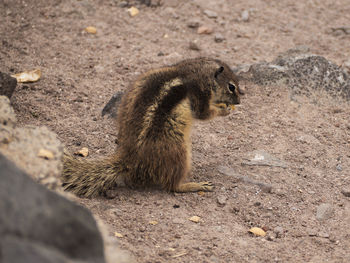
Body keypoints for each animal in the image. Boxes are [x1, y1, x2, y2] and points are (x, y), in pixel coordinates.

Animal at [62, 57, 241, 198]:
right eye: (231, 86)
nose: (239, 102)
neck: (195, 71)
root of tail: (129, 159)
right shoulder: (200, 94)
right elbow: (203, 114)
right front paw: (225, 110)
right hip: (178, 150)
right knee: (172, 186)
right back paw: (194, 185)